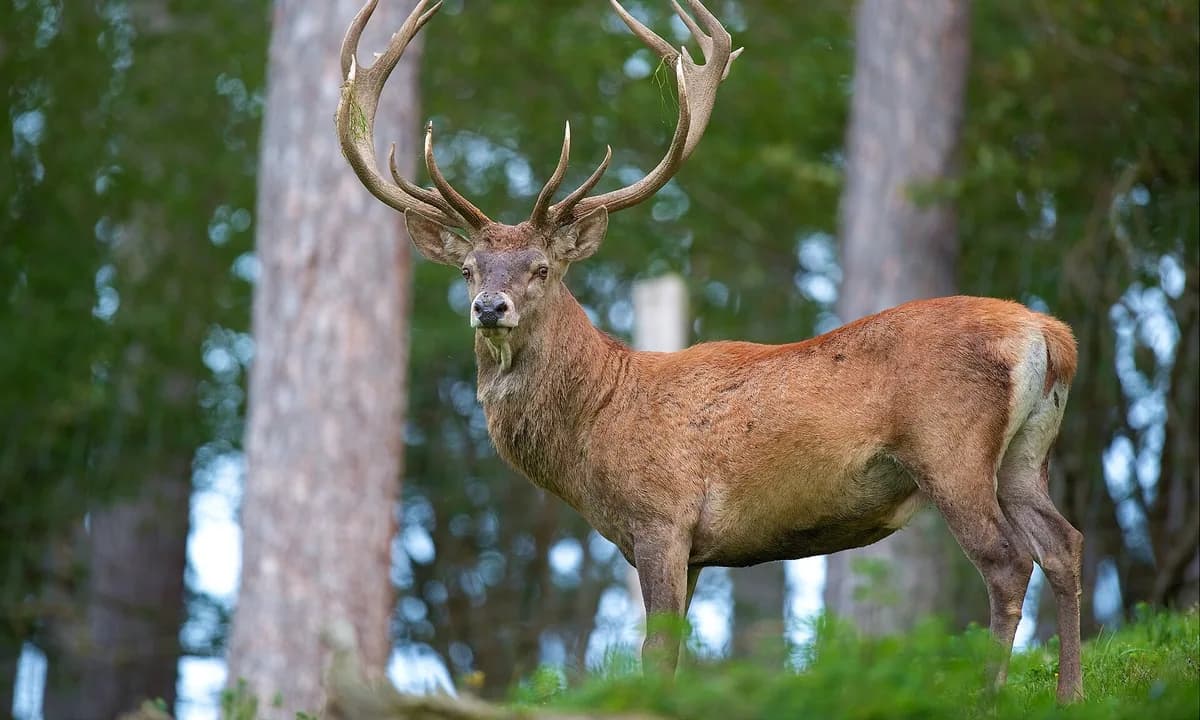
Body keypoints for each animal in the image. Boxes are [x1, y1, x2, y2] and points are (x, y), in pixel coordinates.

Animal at [336, 0, 1085, 703]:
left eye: (542, 268)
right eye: (468, 270)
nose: (490, 308)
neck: (597, 423)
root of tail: (1050, 335)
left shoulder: (662, 520)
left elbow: (655, 652)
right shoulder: (693, 550)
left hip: (950, 448)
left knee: (1007, 561)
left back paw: (990, 694)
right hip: (1025, 455)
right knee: (1064, 545)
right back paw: (1070, 692)